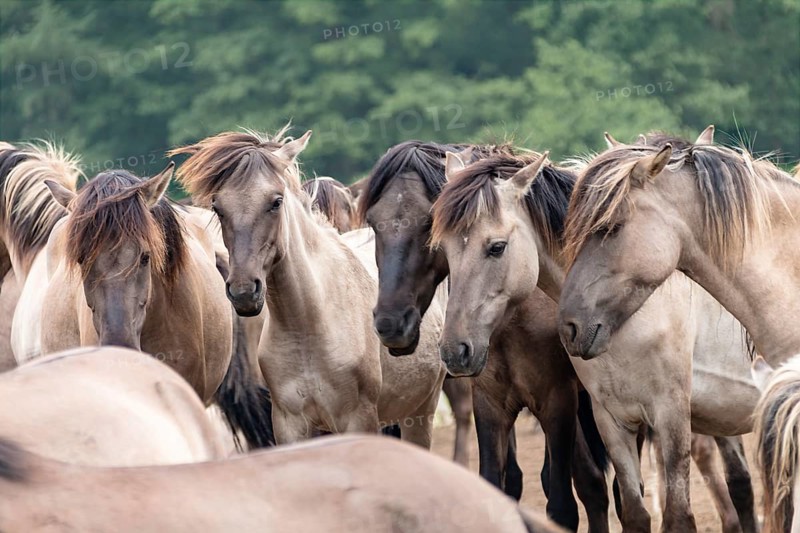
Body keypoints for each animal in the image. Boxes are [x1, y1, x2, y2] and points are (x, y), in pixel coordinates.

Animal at [170, 127, 446, 447]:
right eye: (218, 208)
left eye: (276, 202)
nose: (244, 292)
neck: (309, 324)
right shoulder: (290, 425)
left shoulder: (359, 420)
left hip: (420, 413)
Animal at [357, 140, 610, 532]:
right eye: (373, 222)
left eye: (428, 224)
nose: (390, 324)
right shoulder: (489, 403)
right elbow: (498, 485)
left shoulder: (557, 401)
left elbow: (561, 504)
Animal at [431, 149, 759, 533]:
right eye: (444, 251)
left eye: (496, 247)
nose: (454, 350)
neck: (632, 316)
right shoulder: (612, 419)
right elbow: (633, 512)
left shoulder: (670, 416)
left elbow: (677, 516)